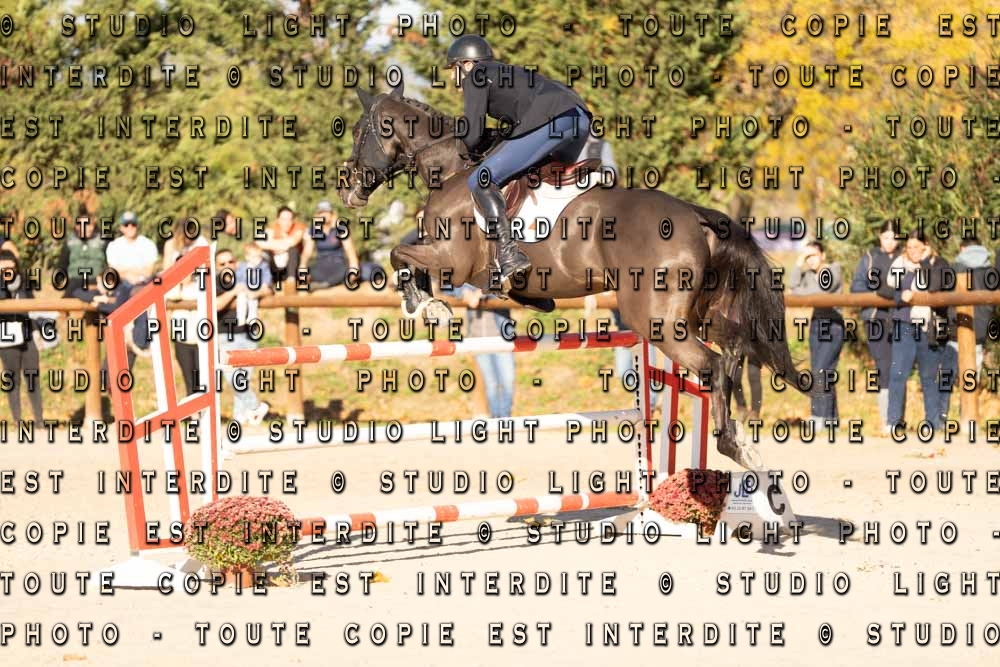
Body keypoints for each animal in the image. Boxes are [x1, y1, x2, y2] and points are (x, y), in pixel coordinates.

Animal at [337, 83, 799, 470]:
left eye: (359, 131)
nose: (347, 189)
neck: (449, 170)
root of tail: (696, 216)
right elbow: (405, 252)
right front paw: (429, 302)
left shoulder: (452, 259)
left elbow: (399, 253)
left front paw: (427, 305)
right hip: (702, 314)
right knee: (735, 349)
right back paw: (743, 442)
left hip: (656, 319)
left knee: (714, 366)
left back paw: (732, 446)